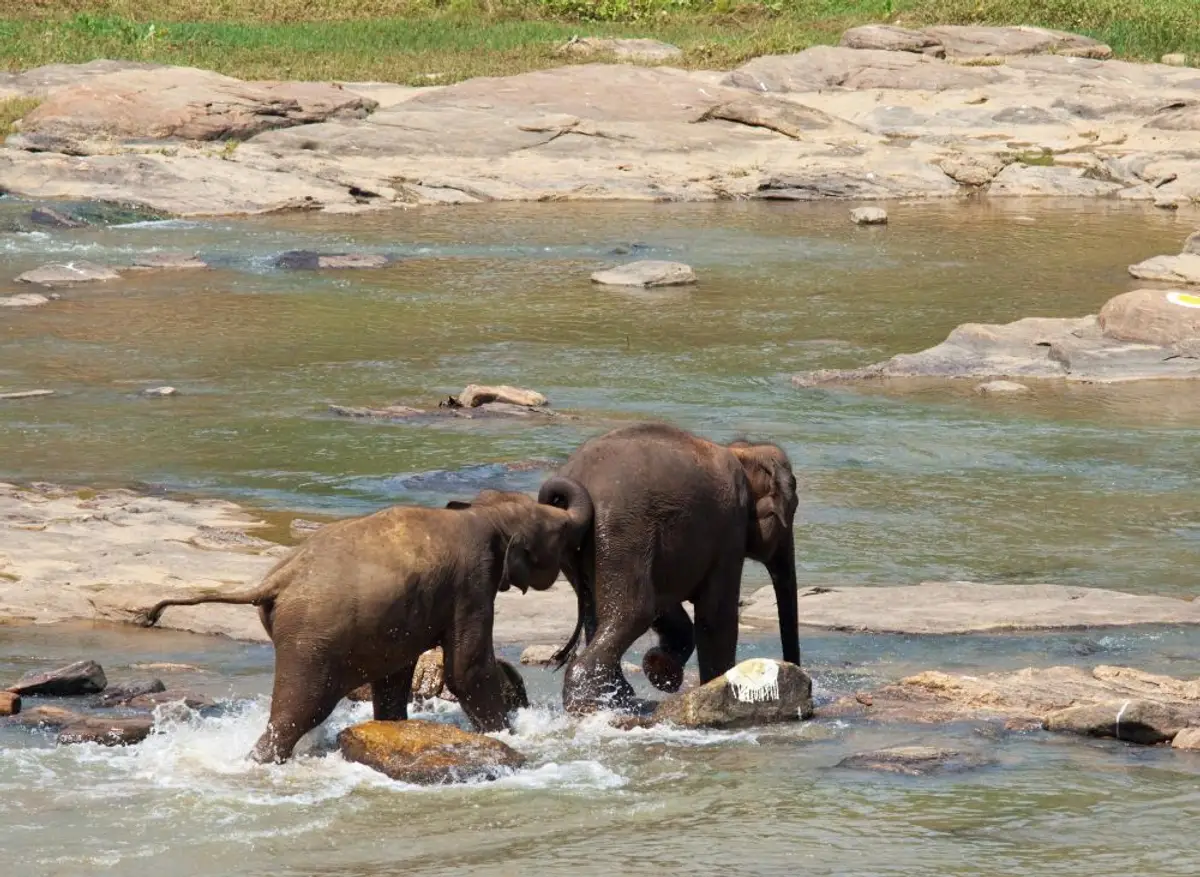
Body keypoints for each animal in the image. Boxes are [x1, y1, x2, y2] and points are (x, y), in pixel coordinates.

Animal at [137, 477, 593, 763]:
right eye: (561, 535)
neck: (482, 514)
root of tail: (275, 581)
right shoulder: (472, 584)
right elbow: (466, 669)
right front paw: (507, 734)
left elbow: (394, 675)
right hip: (312, 641)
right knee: (301, 710)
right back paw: (260, 761)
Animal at [538, 422, 800, 714]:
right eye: (792, 509)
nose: (796, 668)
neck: (744, 453)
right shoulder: (730, 527)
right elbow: (716, 616)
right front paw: (713, 686)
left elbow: (668, 606)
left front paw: (660, 670)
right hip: (622, 531)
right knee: (634, 611)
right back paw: (592, 703)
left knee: (600, 611)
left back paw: (617, 696)